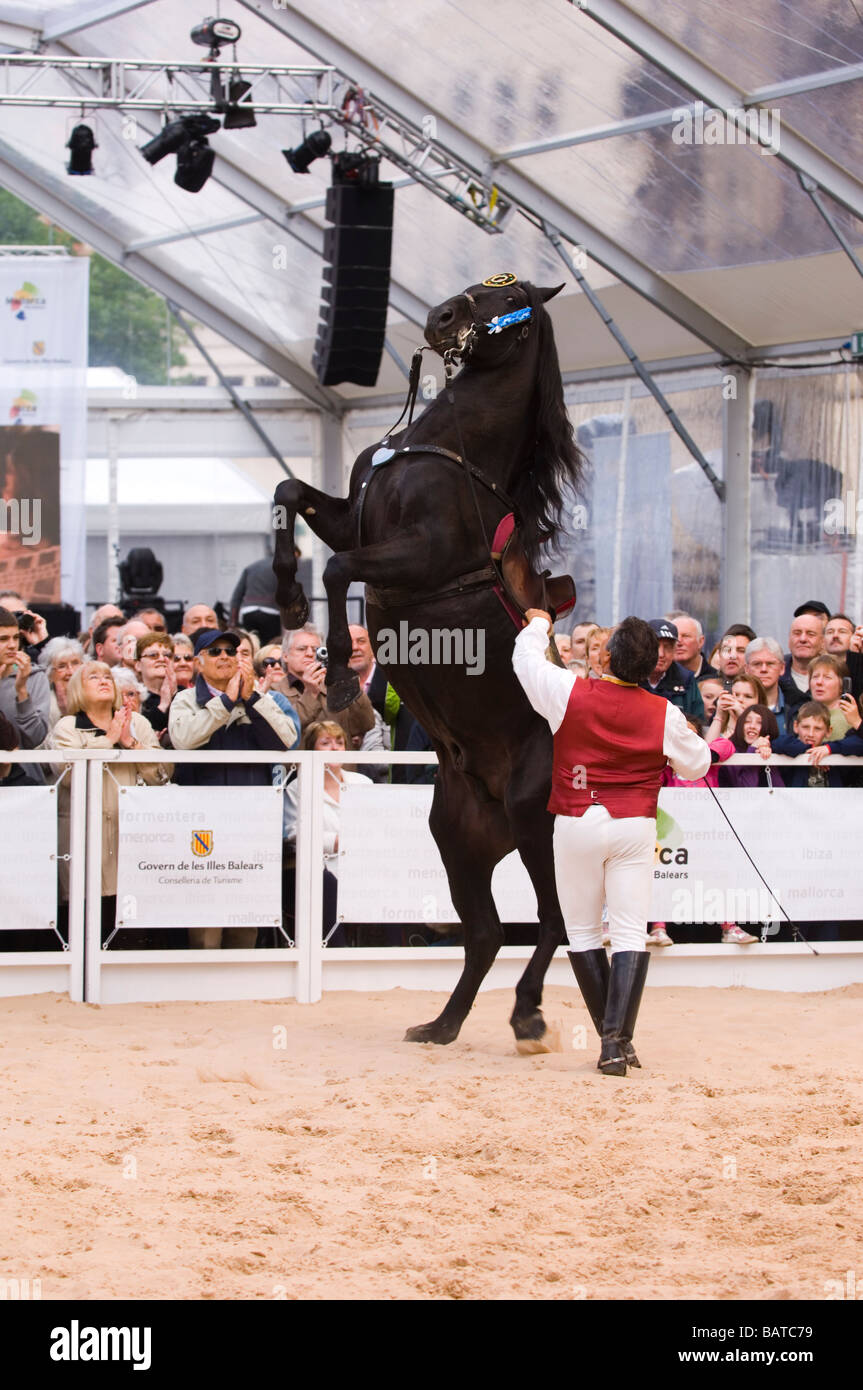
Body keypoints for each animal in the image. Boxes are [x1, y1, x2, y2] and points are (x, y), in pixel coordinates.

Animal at [273, 276, 586, 1045]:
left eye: (512, 298)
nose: (441, 315)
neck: (447, 450)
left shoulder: (419, 555)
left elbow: (340, 571)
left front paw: (340, 678)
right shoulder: (349, 517)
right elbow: (291, 495)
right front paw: (285, 592)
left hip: (535, 825)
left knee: (553, 922)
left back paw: (526, 1014)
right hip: (456, 836)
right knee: (486, 932)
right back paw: (441, 1025)